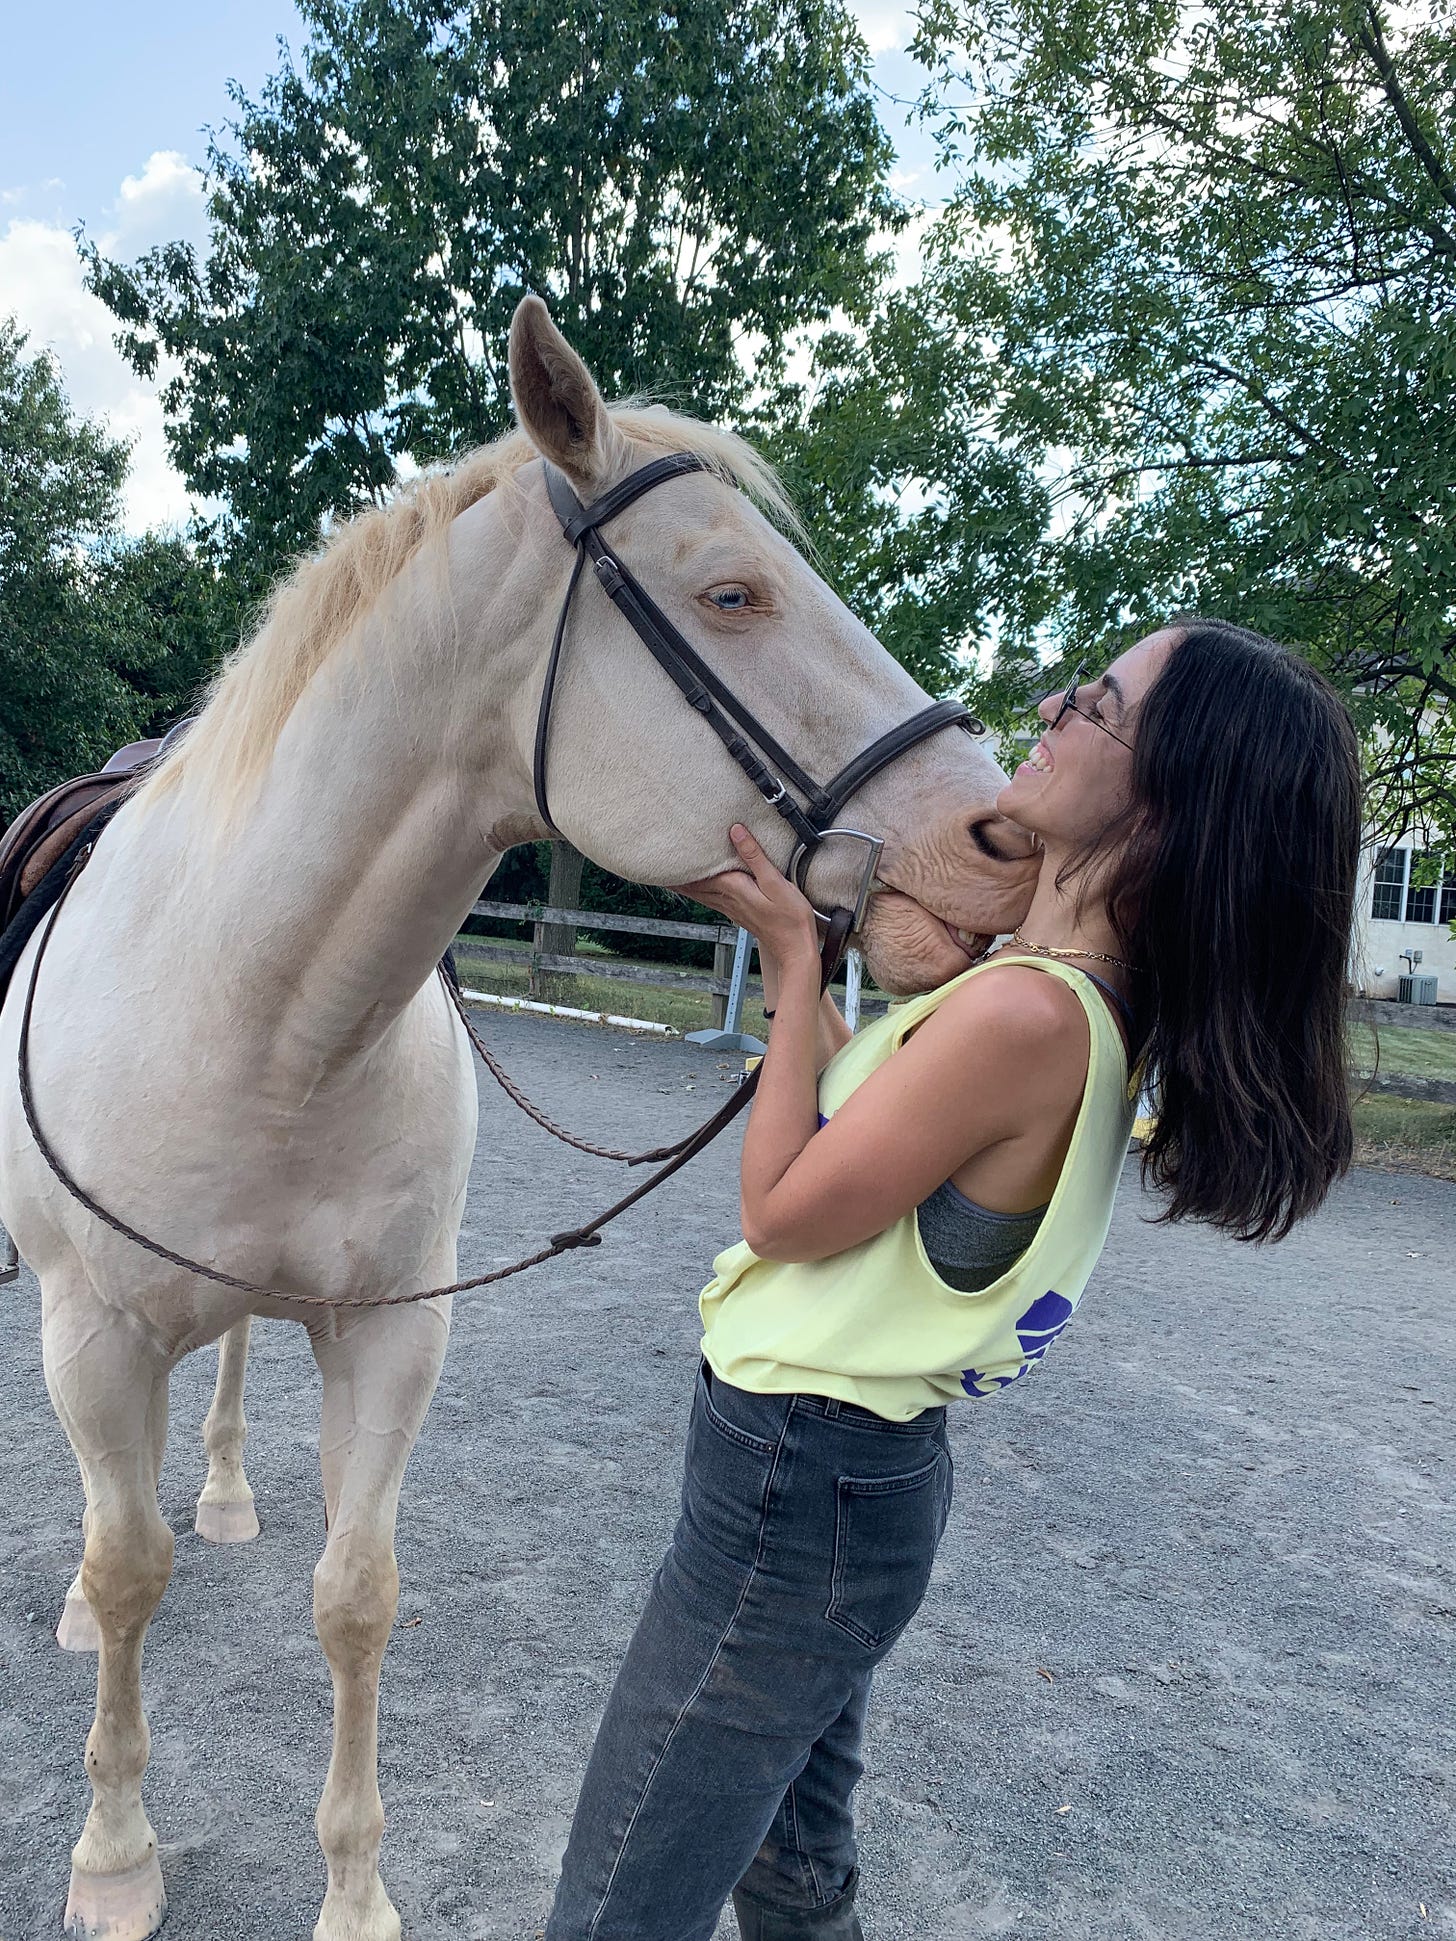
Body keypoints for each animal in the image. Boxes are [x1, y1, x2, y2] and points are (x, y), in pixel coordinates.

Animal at [2, 298, 1048, 1941]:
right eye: (732, 592)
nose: (997, 839)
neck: (259, 1015)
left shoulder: (390, 1333)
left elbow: (355, 1596)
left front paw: (355, 1892)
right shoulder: (95, 1338)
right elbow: (124, 1576)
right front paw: (112, 1857)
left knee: (225, 1380)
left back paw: (224, 1490)